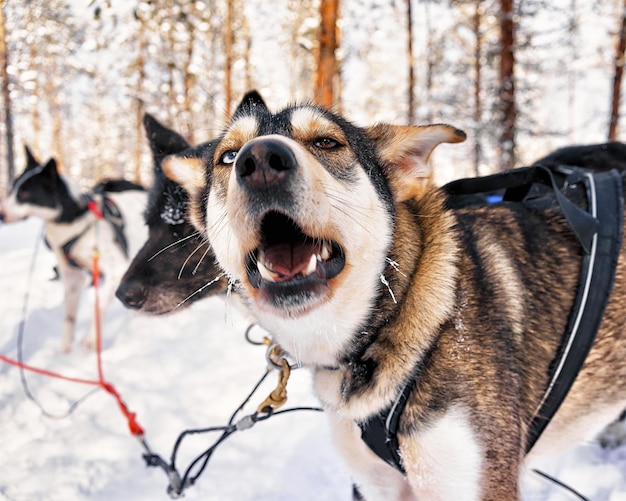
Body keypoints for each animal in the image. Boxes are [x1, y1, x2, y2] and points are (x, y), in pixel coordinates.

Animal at [0, 147, 147, 352]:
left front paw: (91, 339)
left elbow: (98, 308)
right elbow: (69, 317)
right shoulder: (72, 276)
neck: (74, 218)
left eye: (24, 193)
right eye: (12, 189)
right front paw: (65, 350)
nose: (1, 214)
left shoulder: (117, 270)